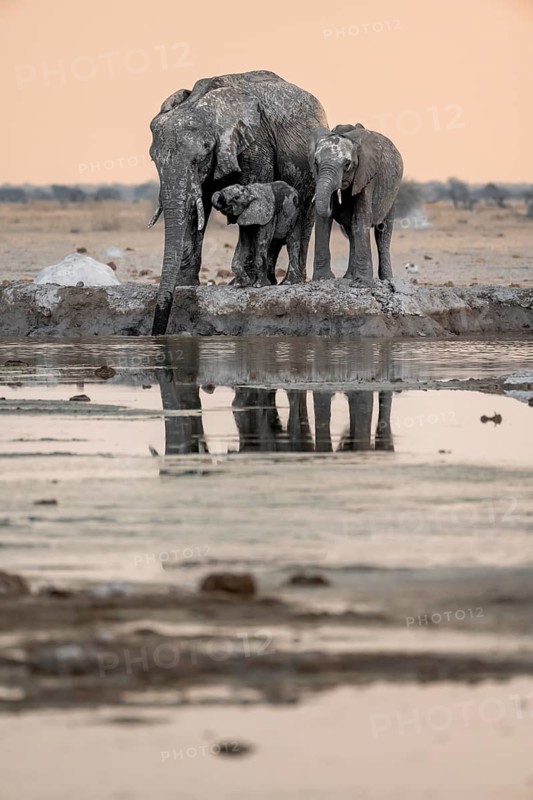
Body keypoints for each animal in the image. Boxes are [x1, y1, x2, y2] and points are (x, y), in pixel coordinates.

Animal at [149, 70, 328, 334]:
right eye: (153, 158)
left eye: (203, 152)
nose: (157, 334)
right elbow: (195, 207)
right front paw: (184, 285)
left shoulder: (256, 143)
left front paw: (245, 283)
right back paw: (269, 281)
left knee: (303, 214)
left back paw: (287, 282)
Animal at [308, 123, 403, 284]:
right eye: (316, 163)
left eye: (347, 164)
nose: (336, 203)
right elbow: (323, 220)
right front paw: (322, 278)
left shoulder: (366, 174)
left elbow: (361, 216)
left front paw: (362, 283)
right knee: (351, 231)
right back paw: (349, 277)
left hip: (392, 193)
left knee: (383, 232)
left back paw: (386, 279)